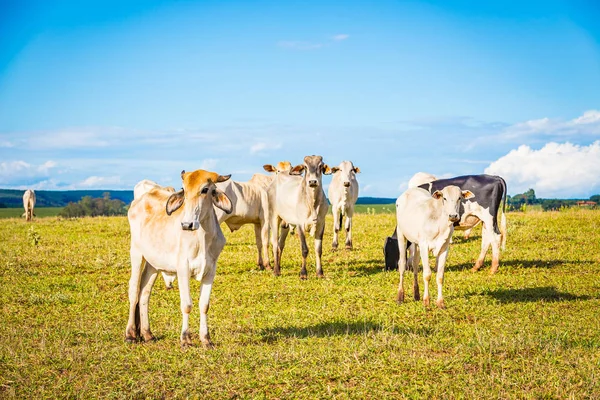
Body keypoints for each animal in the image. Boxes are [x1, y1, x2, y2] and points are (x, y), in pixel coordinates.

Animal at [125, 169, 232, 346]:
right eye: (184, 191)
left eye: (205, 189)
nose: (187, 225)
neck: (202, 238)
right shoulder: (183, 269)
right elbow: (187, 305)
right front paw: (185, 339)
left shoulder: (210, 271)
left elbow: (204, 305)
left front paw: (206, 339)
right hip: (136, 253)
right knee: (134, 291)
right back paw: (130, 334)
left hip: (153, 264)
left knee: (144, 292)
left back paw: (147, 333)